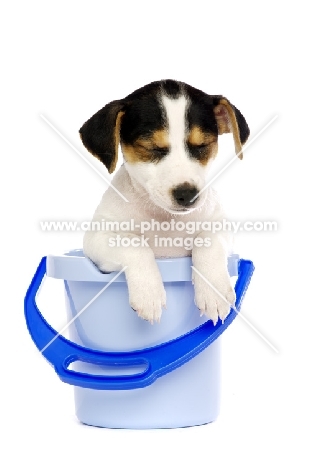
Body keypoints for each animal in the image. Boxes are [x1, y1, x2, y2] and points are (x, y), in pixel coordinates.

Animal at [79, 78, 250, 326]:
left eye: (202, 146)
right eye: (152, 148)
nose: (187, 194)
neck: (165, 218)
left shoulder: (221, 226)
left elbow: (207, 240)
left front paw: (213, 291)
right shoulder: (96, 238)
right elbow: (134, 243)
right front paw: (149, 293)